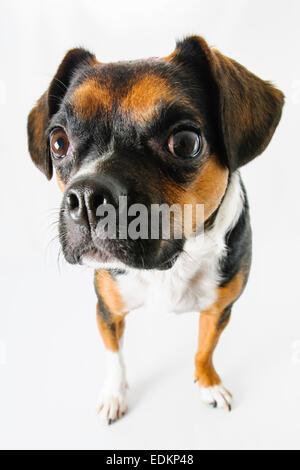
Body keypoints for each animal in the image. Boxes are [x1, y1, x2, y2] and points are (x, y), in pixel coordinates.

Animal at [26, 34, 284, 422]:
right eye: (58, 142)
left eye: (185, 142)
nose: (86, 197)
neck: (171, 265)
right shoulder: (107, 310)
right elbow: (115, 356)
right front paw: (114, 395)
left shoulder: (219, 310)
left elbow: (204, 349)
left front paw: (208, 383)